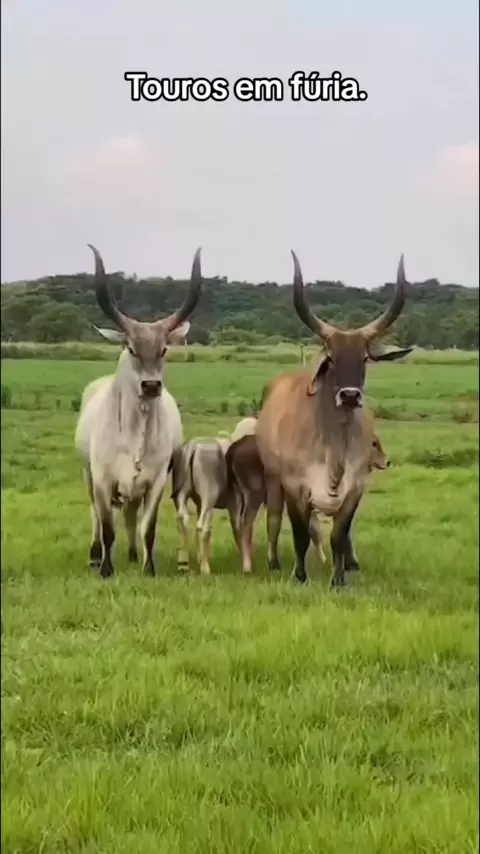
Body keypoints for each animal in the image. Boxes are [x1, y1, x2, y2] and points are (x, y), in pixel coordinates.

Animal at [74, 244, 202, 578]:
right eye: (131, 348)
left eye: (164, 349)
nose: (151, 386)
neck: (134, 433)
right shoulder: (102, 478)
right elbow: (107, 527)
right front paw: (106, 568)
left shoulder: (155, 481)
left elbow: (148, 527)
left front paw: (148, 566)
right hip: (87, 475)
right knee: (95, 517)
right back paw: (94, 555)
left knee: (131, 515)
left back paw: (132, 553)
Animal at [256, 251, 413, 588]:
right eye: (331, 357)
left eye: (364, 357)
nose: (350, 396)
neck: (333, 449)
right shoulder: (294, 487)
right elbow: (300, 534)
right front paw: (300, 576)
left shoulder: (355, 488)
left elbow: (339, 535)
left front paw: (339, 579)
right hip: (273, 480)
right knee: (274, 520)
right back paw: (274, 562)